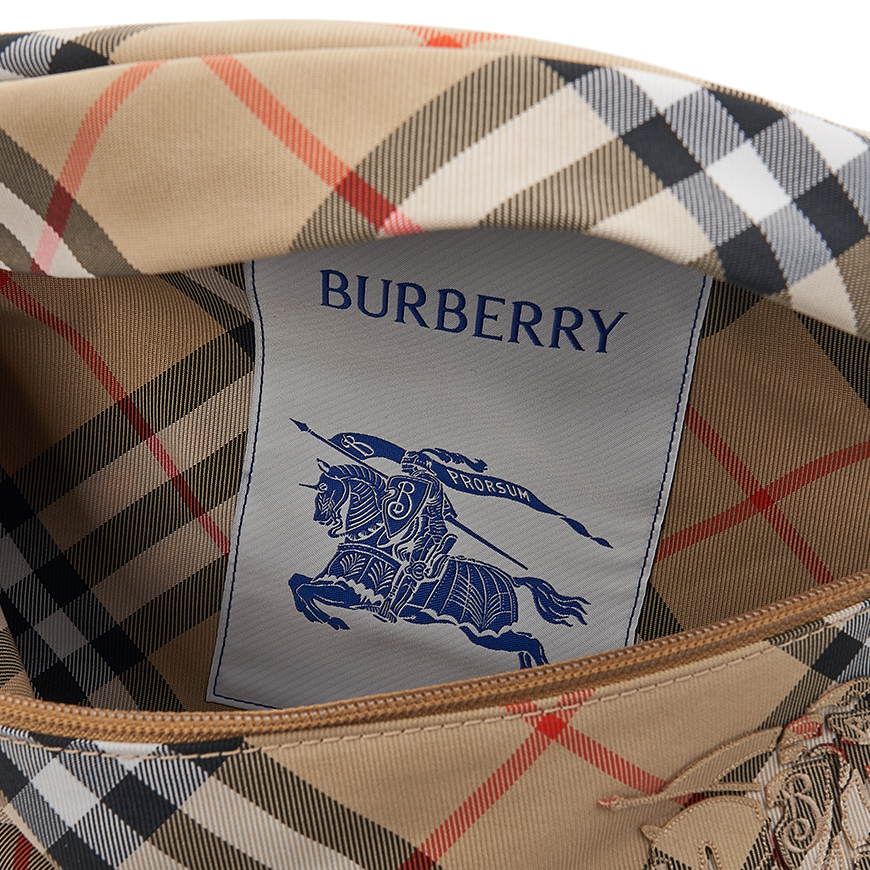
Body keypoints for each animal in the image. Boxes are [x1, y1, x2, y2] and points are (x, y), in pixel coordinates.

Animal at [288, 461, 589, 668]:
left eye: (326, 487)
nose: (319, 518)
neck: (373, 537)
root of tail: (512, 580)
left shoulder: (352, 593)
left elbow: (305, 589)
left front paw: (329, 619)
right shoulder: (330, 581)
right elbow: (297, 582)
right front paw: (316, 615)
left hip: (486, 633)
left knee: (532, 643)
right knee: (526, 643)